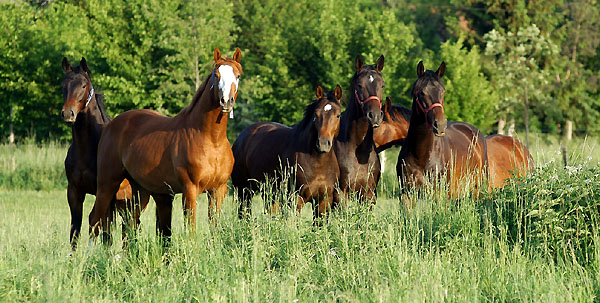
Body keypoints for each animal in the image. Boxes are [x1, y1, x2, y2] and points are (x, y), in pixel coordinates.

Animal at [60, 56, 149, 249]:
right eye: (63, 85)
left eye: (84, 85)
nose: (68, 113)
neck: (87, 149)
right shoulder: (74, 192)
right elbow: (75, 230)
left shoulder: (106, 194)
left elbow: (102, 229)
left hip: (133, 201)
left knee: (130, 228)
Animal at [88, 48, 241, 245]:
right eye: (217, 75)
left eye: (238, 75)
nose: (226, 101)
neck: (211, 140)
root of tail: (110, 126)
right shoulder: (190, 189)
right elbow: (191, 229)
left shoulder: (218, 190)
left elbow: (214, 226)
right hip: (107, 183)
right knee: (95, 219)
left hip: (139, 191)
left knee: (128, 223)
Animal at [231, 85, 342, 221]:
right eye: (315, 115)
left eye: (338, 115)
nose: (323, 144)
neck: (317, 163)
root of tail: (242, 137)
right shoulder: (295, 199)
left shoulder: (324, 201)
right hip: (244, 191)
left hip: (270, 194)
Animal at [396, 61, 490, 200]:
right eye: (421, 92)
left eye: (443, 91)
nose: (440, 125)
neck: (421, 155)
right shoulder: (406, 194)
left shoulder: (439, 194)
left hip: (476, 190)